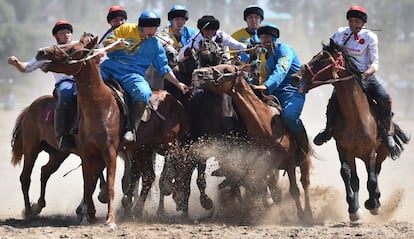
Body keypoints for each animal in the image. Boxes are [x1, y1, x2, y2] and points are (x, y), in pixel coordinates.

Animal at [192, 63, 312, 220]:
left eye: (226, 70)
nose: (197, 73)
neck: (266, 127)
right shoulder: (265, 165)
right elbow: (272, 192)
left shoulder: (289, 161)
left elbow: (294, 191)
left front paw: (301, 216)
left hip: (304, 160)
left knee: (305, 183)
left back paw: (308, 213)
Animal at [290, 38, 410, 221]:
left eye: (322, 61)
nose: (295, 77)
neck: (356, 117)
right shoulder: (343, 150)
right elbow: (347, 175)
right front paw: (353, 209)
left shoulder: (370, 152)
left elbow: (372, 179)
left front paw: (372, 204)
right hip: (354, 155)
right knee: (356, 179)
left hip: (381, 152)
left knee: (376, 173)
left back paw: (376, 200)